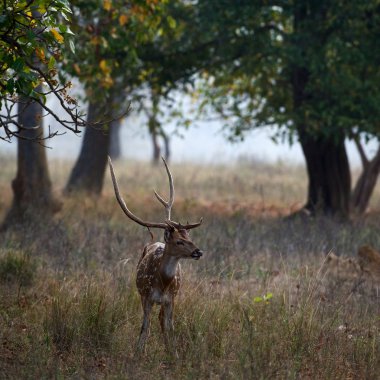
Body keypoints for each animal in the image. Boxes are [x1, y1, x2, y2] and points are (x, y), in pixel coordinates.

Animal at [107, 154, 202, 354]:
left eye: (189, 237)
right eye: (178, 241)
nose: (199, 251)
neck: (162, 283)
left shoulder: (171, 298)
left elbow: (170, 327)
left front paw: (174, 354)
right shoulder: (146, 297)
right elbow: (145, 327)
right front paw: (138, 354)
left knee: (162, 321)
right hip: (142, 293)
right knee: (153, 322)